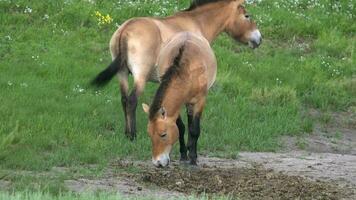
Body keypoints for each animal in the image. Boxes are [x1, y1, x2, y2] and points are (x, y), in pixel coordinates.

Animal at [90, 0, 260, 140]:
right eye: (247, 16)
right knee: (132, 100)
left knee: (124, 100)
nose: (259, 38)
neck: (197, 24)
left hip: (122, 74)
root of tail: (125, 29)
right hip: (140, 76)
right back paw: (133, 135)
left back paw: (126, 133)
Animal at [143, 32, 217, 167]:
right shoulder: (176, 107)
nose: (158, 163)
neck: (188, 69)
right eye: (149, 134)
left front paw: (193, 158)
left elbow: (194, 129)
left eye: (163, 134)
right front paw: (183, 155)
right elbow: (181, 128)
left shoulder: (200, 101)